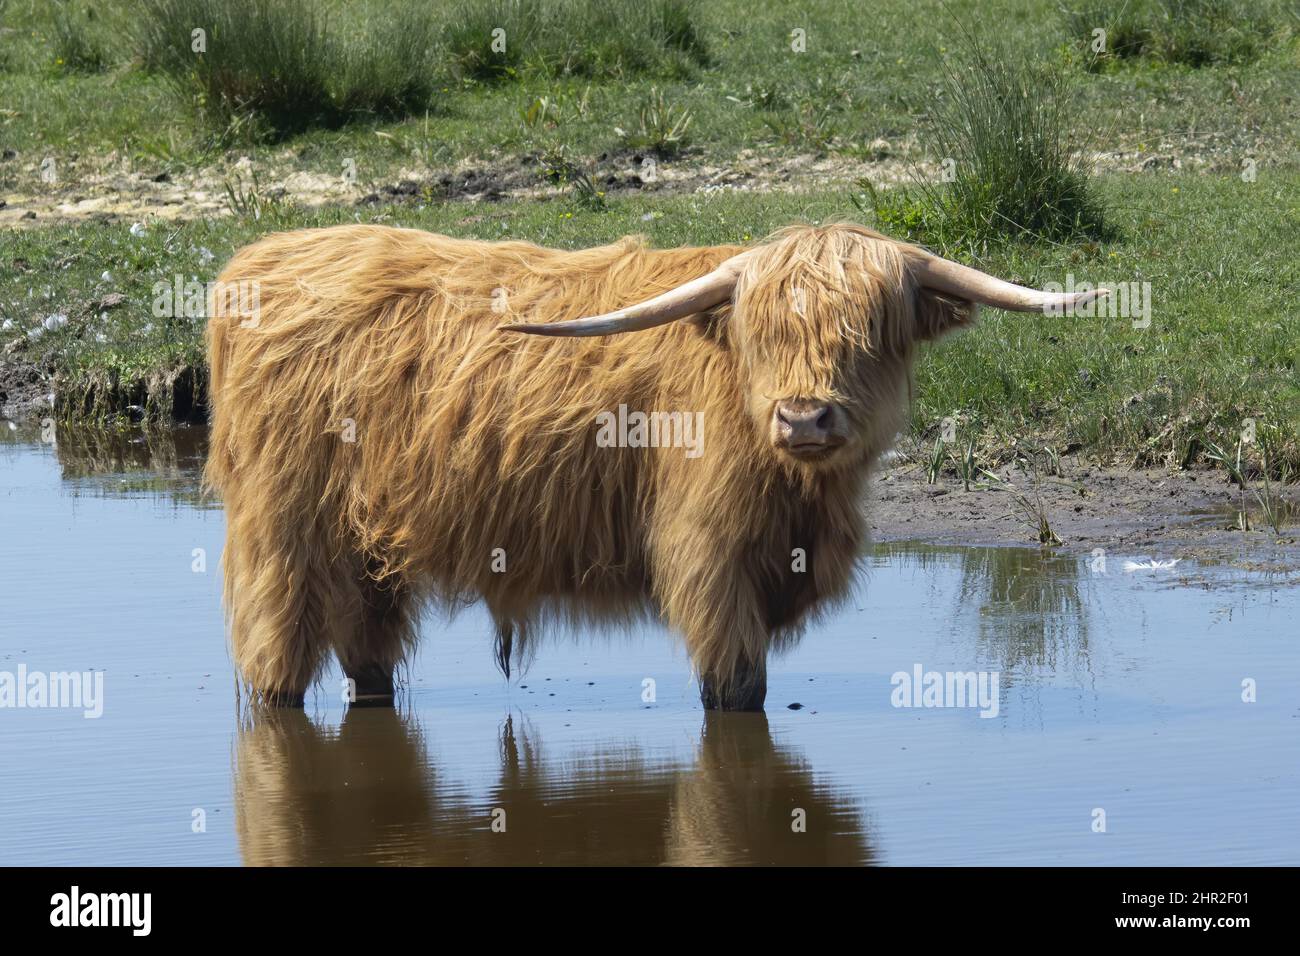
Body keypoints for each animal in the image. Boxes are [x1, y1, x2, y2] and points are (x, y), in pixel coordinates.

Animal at [208, 223, 1102, 712]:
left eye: (872, 330)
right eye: (762, 333)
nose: (803, 417)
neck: (803, 501)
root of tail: (257, 262)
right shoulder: (712, 561)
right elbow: (735, 688)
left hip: (367, 556)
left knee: (368, 658)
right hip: (282, 535)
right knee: (274, 665)